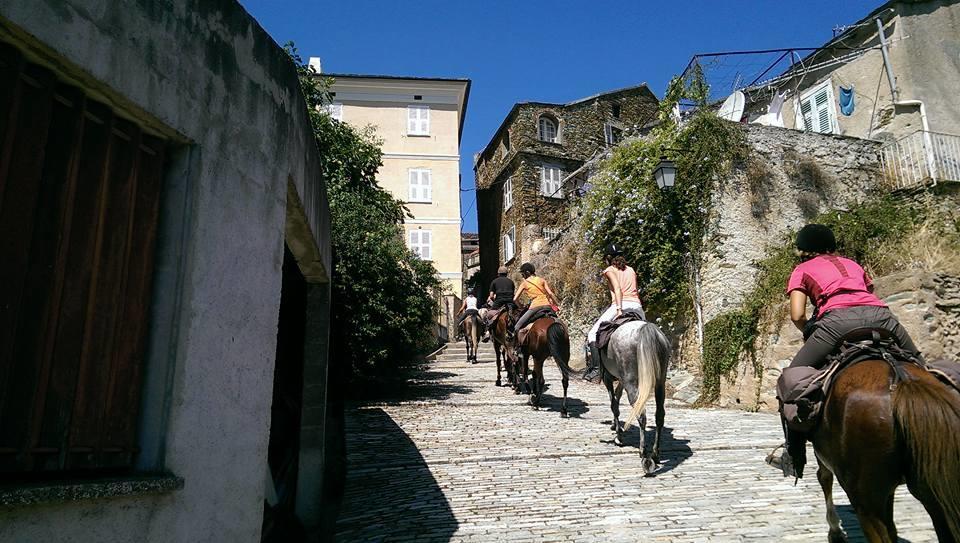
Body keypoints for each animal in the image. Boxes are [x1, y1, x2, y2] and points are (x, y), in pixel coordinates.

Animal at [604, 320, 672, 474]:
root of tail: (646, 327)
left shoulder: (608, 378)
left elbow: (613, 404)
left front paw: (618, 436)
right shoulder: (620, 380)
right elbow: (616, 397)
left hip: (631, 381)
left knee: (641, 415)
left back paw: (644, 456)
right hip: (660, 382)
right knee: (659, 415)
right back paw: (655, 454)